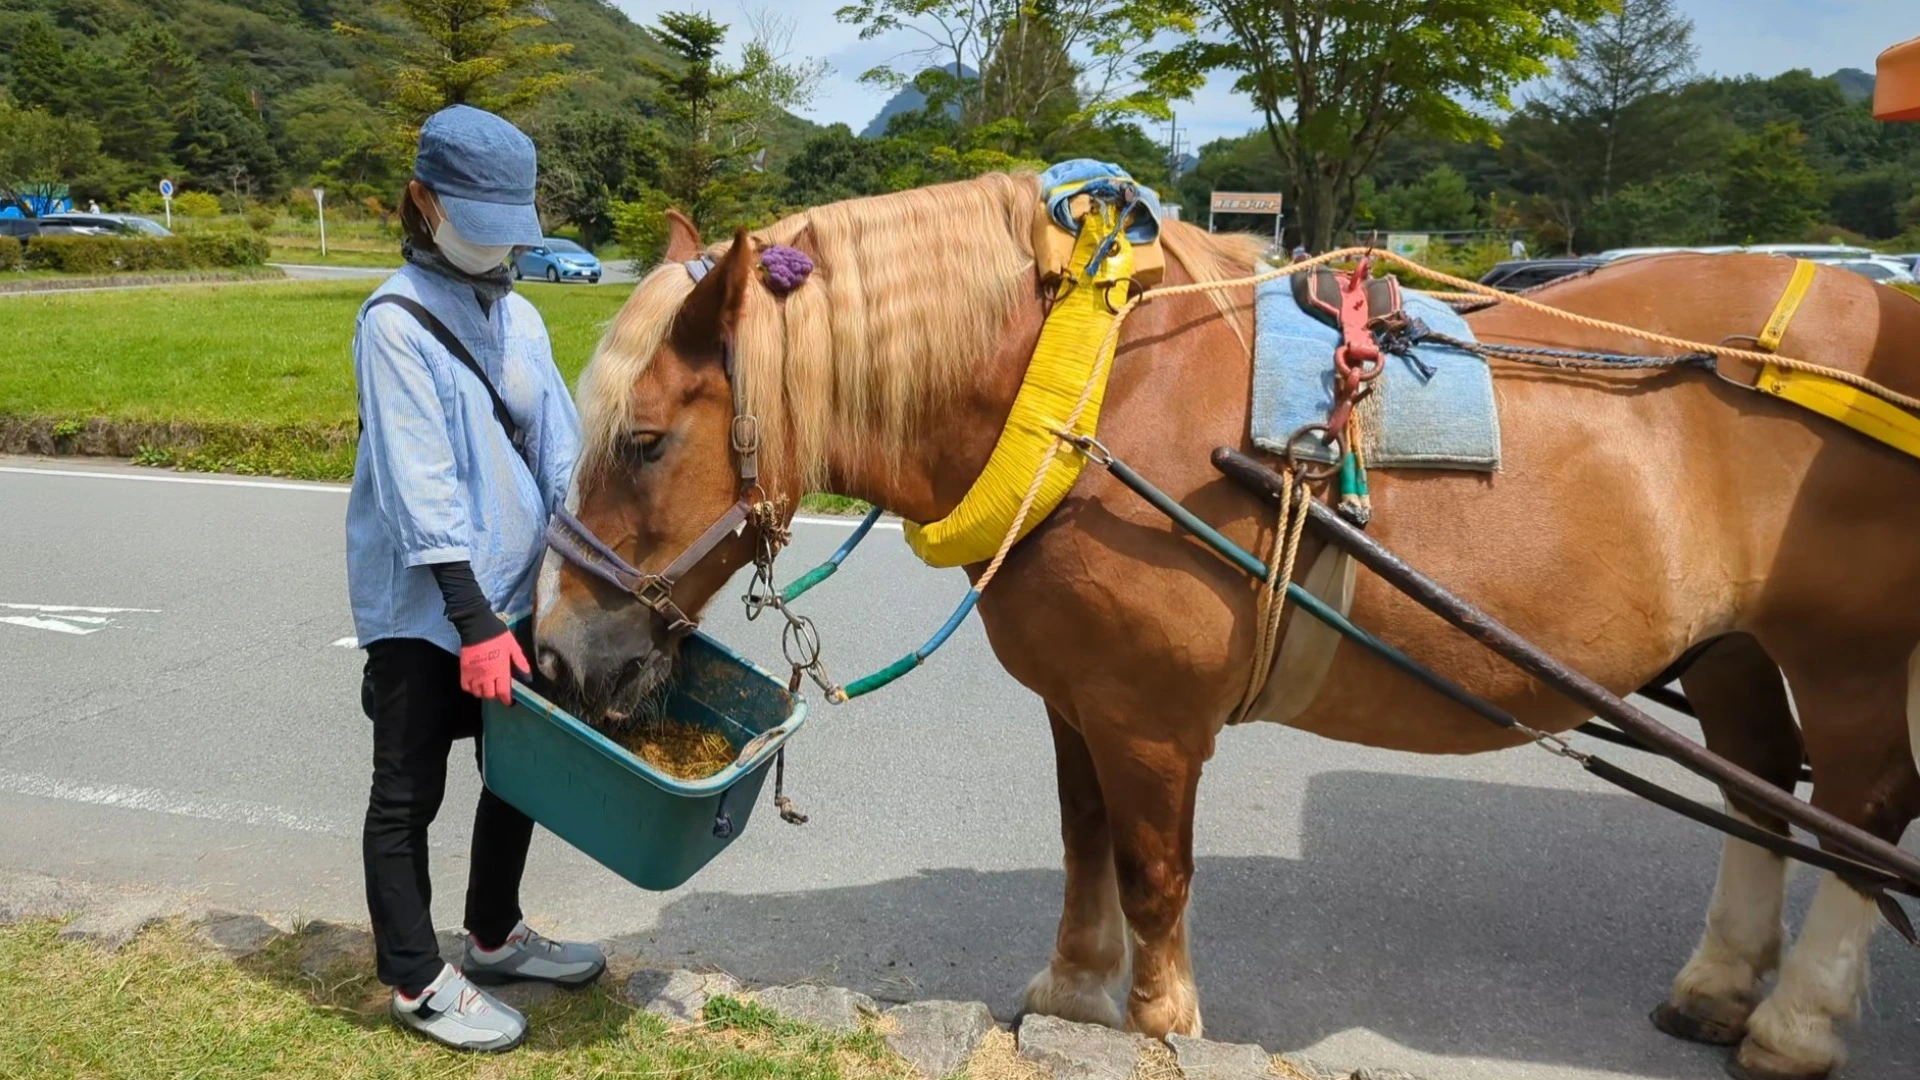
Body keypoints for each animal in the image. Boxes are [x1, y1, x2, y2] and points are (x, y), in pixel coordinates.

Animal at [533, 176, 1920, 1076]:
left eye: (642, 442)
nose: (555, 650)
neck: (1083, 398)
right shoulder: (1080, 699)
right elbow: (1084, 842)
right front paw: (1075, 992)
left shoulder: (1151, 718)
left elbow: (1153, 868)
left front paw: (1157, 1021)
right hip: (1733, 648)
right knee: (1755, 785)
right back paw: (1721, 985)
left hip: (1846, 654)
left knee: (1858, 811)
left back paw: (1796, 1022)